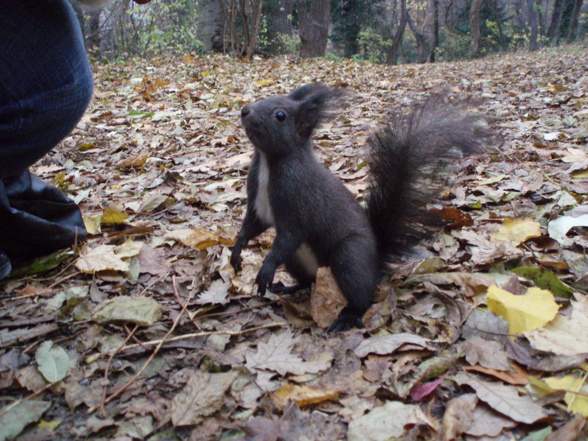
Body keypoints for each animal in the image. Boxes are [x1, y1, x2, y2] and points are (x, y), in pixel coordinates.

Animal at [230, 83, 486, 330]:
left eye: (280, 115)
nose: (245, 111)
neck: (268, 161)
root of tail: (375, 265)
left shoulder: (298, 202)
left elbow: (289, 235)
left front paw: (266, 268)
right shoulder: (258, 204)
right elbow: (252, 226)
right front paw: (236, 251)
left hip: (349, 256)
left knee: (361, 295)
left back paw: (347, 317)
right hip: (297, 260)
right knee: (308, 281)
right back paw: (288, 288)